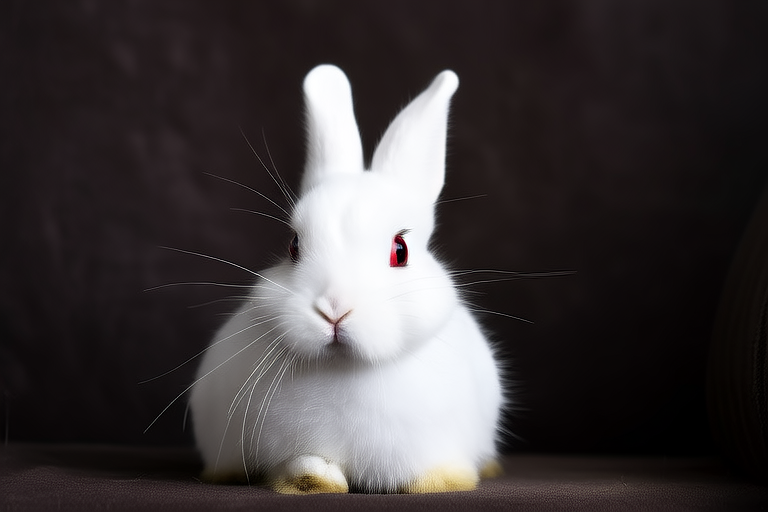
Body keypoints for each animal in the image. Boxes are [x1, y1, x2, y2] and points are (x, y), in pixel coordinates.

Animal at [188, 64, 505, 494]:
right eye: (293, 245)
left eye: (401, 250)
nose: (334, 309)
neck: (344, 369)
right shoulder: (296, 448)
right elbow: (307, 464)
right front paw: (310, 482)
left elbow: (430, 472)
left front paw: (440, 482)